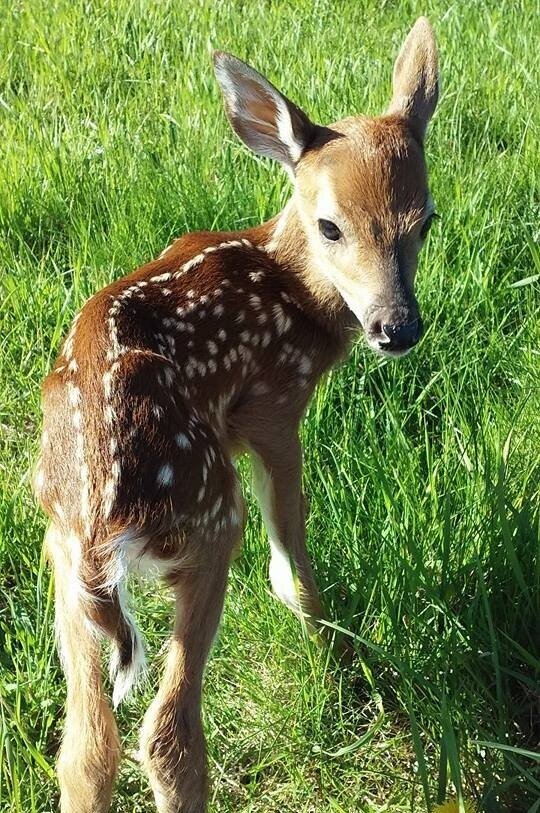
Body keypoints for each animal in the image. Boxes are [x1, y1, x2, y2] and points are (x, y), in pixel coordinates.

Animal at [34, 16, 439, 813]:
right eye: (331, 226)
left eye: (426, 221)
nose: (397, 327)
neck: (292, 287)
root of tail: (102, 521)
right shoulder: (273, 409)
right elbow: (291, 567)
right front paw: (335, 662)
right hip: (209, 513)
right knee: (164, 731)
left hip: (64, 559)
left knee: (86, 748)